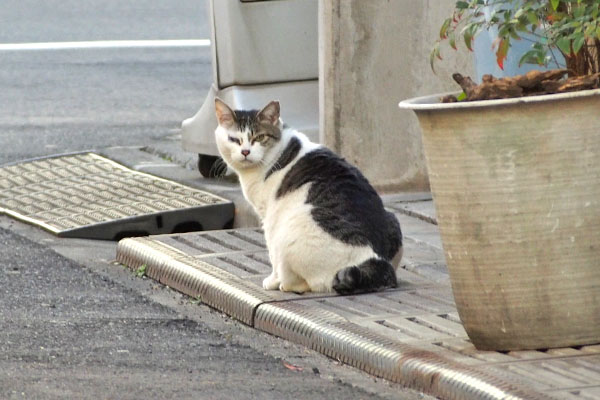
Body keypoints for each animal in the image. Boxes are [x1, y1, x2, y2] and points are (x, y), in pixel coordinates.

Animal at [213, 98, 400, 296]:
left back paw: (284, 284)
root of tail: (374, 261)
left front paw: (271, 281)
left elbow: (271, 254)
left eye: (260, 137)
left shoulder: (269, 217)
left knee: (301, 280)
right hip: (392, 218)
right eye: (234, 139)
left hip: (288, 235)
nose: (245, 152)